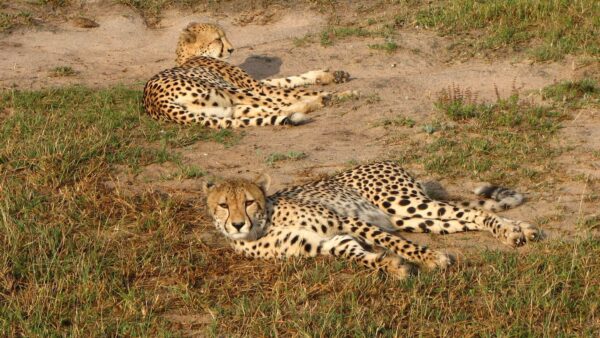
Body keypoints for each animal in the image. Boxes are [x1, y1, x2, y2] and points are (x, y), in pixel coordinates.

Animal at [144, 21, 352, 129]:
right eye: (218, 39)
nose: (231, 49)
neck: (190, 56)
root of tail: (156, 103)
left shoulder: (253, 84)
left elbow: (285, 81)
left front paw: (331, 75)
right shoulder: (253, 86)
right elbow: (292, 89)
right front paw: (345, 92)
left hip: (223, 107)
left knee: (272, 109)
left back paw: (310, 105)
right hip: (226, 89)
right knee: (277, 104)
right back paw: (323, 99)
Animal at [206, 162, 544, 278]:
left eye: (249, 202)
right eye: (223, 205)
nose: (237, 224)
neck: (264, 225)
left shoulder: (346, 221)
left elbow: (394, 243)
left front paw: (430, 258)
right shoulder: (325, 241)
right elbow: (356, 254)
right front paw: (391, 266)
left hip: (403, 204)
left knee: (475, 212)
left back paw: (515, 230)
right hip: (414, 218)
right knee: (464, 218)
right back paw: (517, 231)